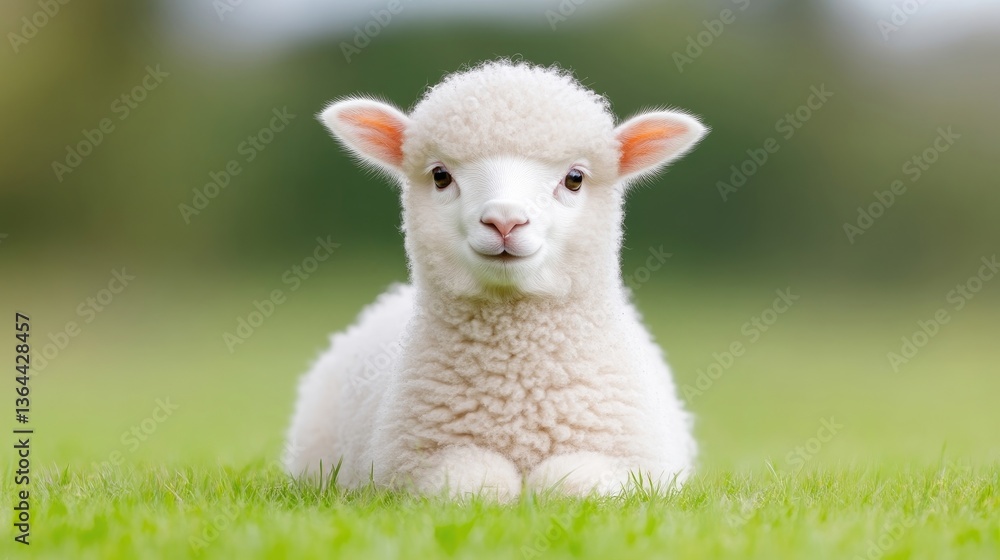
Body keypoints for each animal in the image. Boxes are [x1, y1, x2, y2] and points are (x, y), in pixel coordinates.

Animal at [284, 60, 708, 499]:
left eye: (575, 178)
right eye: (440, 175)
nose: (505, 220)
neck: (514, 389)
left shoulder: (636, 470)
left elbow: (569, 482)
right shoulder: (410, 468)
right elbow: (479, 480)